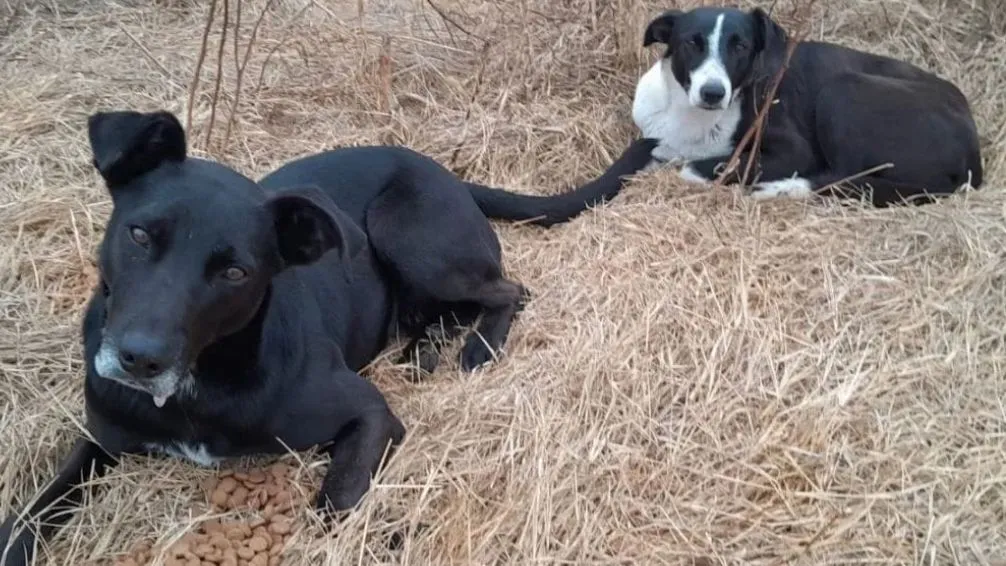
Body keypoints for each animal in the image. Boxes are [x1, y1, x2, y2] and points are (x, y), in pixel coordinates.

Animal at [0, 110, 659, 566]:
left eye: (235, 272)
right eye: (139, 234)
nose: (139, 359)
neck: (198, 385)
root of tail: (447, 172)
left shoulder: (369, 414)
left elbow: (336, 499)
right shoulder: (101, 437)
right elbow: (30, 513)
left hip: (409, 234)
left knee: (509, 290)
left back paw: (479, 347)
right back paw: (425, 350)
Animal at [631, 6, 985, 206]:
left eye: (740, 46)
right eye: (692, 43)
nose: (713, 93)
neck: (691, 114)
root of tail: (974, 154)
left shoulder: (796, 152)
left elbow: (696, 166)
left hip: (842, 90)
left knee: (845, 178)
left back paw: (785, 189)